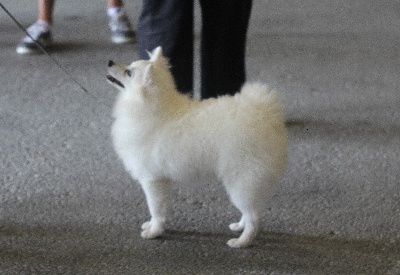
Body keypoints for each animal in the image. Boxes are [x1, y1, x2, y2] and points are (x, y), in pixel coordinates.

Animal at [106, 47, 288, 248]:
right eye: (128, 66)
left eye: (128, 72)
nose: (109, 62)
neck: (152, 108)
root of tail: (265, 114)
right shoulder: (163, 180)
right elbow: (161, 208)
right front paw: (154, 226)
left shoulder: (152, 180)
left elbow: (155, 208)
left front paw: (154, 232)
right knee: (250, 211)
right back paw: (239, 226)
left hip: (242, 178)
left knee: (253, 217)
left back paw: (242, 242)